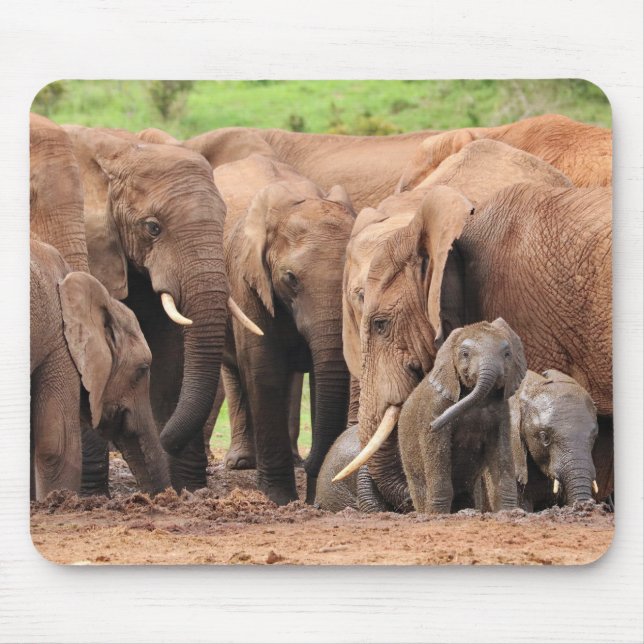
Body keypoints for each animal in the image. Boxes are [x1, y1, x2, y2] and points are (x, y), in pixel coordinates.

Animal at [61, 125, 259, 491]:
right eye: (153, 227)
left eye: (223, 220)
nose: (163, 437)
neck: (119, 150)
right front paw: (91, 495)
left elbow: (169, 354)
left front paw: (186, 490)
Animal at [216, 153, 355, 504]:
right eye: (290, 278)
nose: (312, 464)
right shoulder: (245, 279)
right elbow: (263, 370)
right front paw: (279, 498)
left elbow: (323, 378)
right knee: (234, 370)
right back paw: (242, 462)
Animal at [396, 319, 525, 514]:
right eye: (465, 354)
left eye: (507, 354)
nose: (433, 425)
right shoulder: (435, 406)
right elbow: (438, 453)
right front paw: (438, 515)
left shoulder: (502, 413)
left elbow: (502, 455)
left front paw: (509, 512)